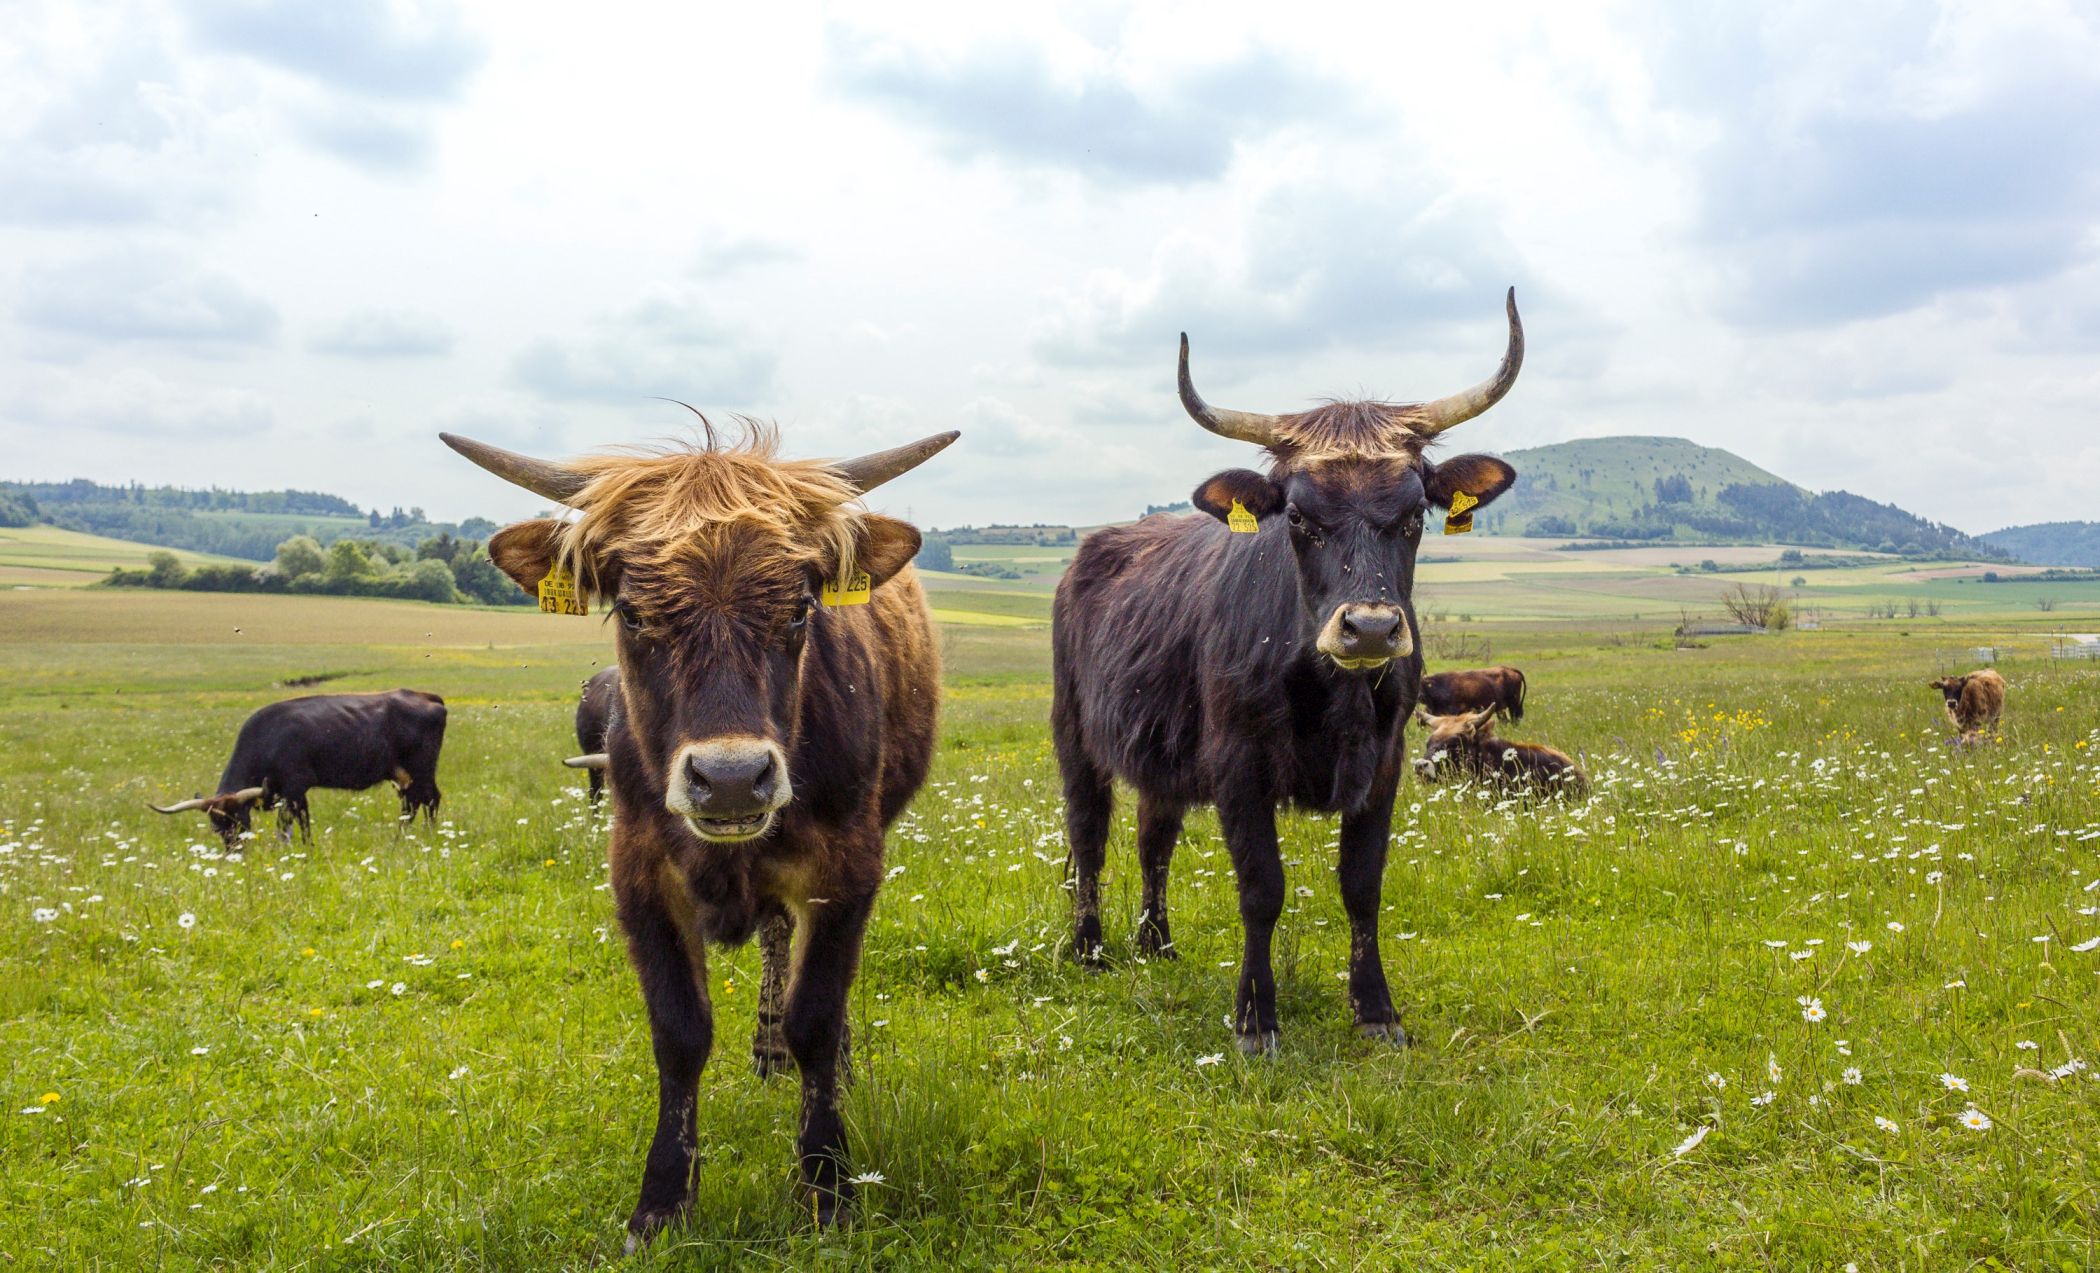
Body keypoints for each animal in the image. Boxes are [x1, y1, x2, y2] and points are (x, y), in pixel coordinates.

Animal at [149, 689, 447, 848]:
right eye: (217, 827)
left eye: (242, 821)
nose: (235, 853)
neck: (267, 739)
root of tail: (425, 696)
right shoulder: (289, 793)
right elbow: (300, 824)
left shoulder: (295, 787)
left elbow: (291, 826)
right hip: (403, 776)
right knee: (411, 804)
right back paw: (403, 839)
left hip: (421, 770)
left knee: (430, 799)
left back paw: (428, 836)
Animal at [455, 415, 961, 1243]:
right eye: (631, 611)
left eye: (801, 607)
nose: (728, 777)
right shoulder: (639, 873)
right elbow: (679, 1029)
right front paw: (663, 1199)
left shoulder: (847, 869)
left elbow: (817, 1014)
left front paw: (827, 1186)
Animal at [1058, 289, 1520, 1058]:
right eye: (1299, 516)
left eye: (1414, 516)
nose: (1370, 628)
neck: (1328, 687)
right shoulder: (1238, 764)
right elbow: (1261, 889)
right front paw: (1255, 1020)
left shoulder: (1385, 765)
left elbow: (1362, 885)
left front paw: (1377, 1011)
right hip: (1075, 738)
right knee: (1088, 837)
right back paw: (1090, 949)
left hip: (1163, 760)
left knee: (1154, 841)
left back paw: (1157, 943)